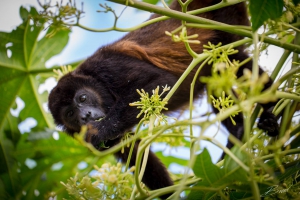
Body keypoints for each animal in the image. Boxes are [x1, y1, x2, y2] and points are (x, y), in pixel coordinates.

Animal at [47, 0, 278, 197]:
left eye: (82, 98)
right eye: (70, 114)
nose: (85, 116)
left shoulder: (107, 66)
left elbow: (157, 80)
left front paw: (99, 130)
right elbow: (136, 155)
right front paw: (169, 194)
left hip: (226, 20)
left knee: (234, 56)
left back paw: (272, 112)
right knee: (216, 75)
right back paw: (237, 137)